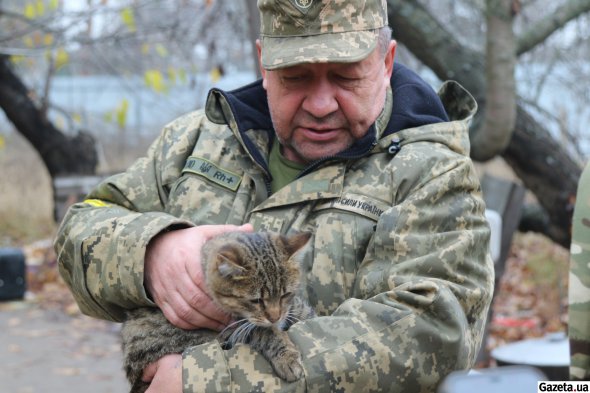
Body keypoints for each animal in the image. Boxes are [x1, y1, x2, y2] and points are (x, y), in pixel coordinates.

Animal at [119, 230, 314, 392]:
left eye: (285, 294)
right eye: (256, 300)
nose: (275, 318)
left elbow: (300, 310)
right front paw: (287, 357)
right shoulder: (233, 330)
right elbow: (266, 333)